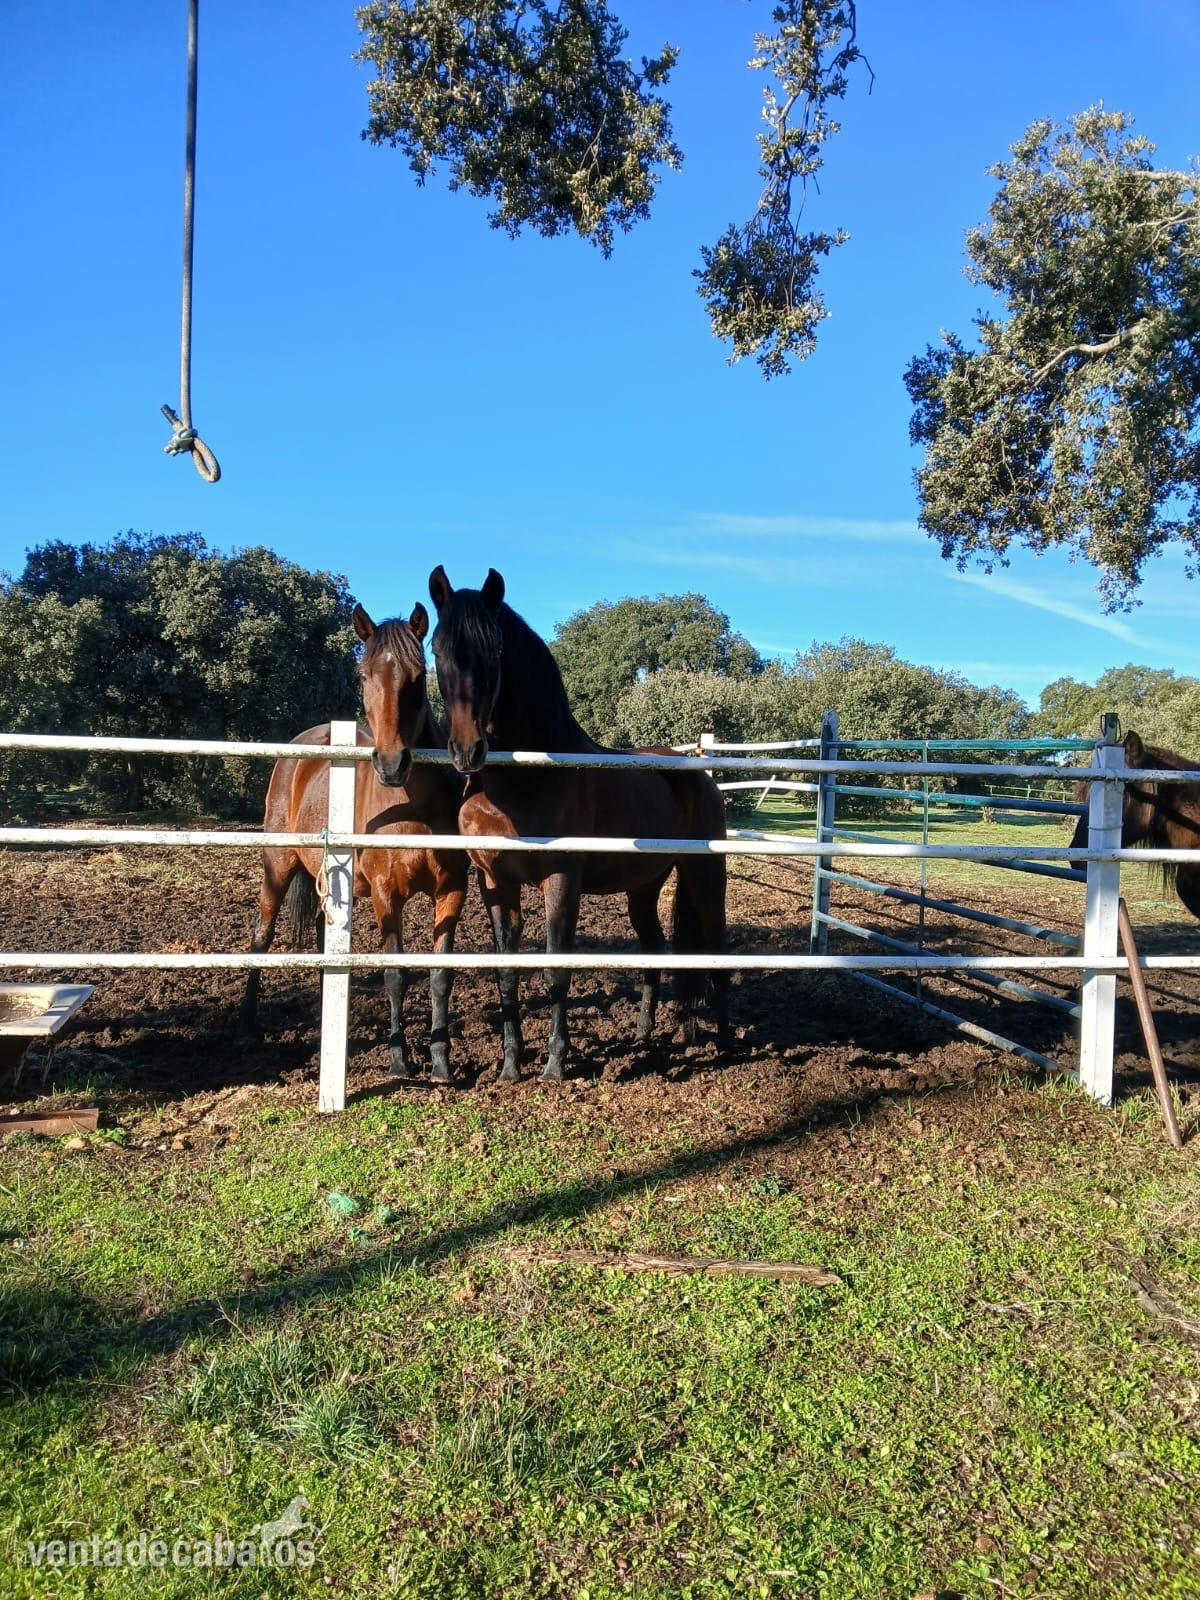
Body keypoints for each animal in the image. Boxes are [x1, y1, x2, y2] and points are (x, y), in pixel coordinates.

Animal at [239, 603, 468, 1080]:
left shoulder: (451, 889)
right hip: (277, 865)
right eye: (364, 676)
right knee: (261, 935)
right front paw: (399, 1061)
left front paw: (441, 1062)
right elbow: (395, 975)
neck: (411, 805)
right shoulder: (386, 893)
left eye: (418, 675)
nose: (391, 763)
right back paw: (246, 1024)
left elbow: (441, 975)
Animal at [427, 564, 728, 1082]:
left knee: (719, 952)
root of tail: (698, 775)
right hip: (643, 888)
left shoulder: (561, 878)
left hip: (704, 878)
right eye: (437, 648)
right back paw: (644, 1036)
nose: (467, 751)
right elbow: (507, 969)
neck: (520, 783)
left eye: (495, 650)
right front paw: (511, 1067)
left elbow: (556, 967)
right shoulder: (495, 881)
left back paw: (726, 1044)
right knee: (656, 949)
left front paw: (554, 1066)